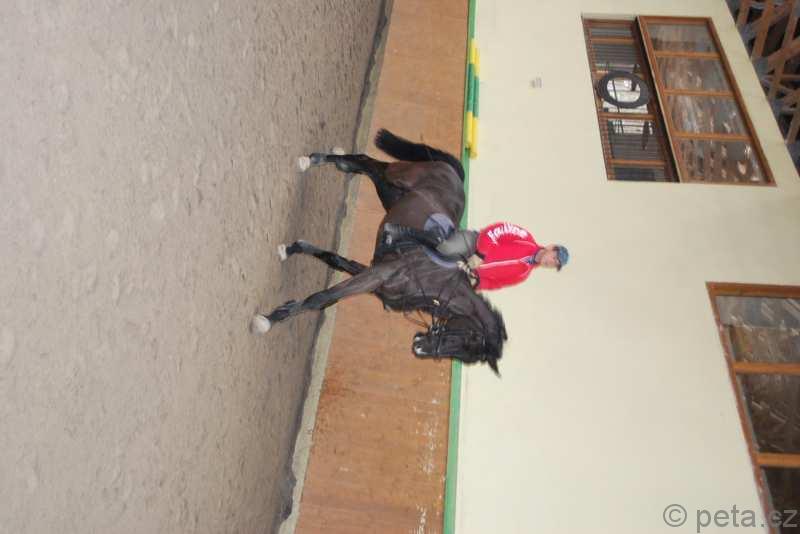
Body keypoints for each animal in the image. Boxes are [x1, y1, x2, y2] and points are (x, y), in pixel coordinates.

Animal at [251, 129, 506, 373]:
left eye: (465, 354)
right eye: (466, 340)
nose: (419, 348)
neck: (432, 281)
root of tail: (454, 174)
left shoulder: (372, 276)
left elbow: (334, 260)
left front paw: (294, 248)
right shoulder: (376, 275)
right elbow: (321, 298)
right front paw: (269, 319)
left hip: (390, 194)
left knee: (366, 168)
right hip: (398, 177)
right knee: (370, 162)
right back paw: (314, 159)